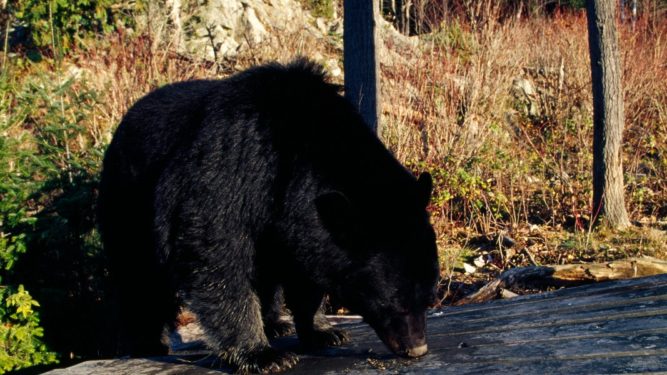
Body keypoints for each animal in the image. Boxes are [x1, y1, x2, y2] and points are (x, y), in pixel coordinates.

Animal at [98, 58, 438, 374]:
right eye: (390, 301)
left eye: (428, 296)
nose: (416, 348)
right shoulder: (231, 167)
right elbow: (215, 252)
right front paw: (263, 356)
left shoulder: (298, 217)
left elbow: (309, 267)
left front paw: (323, 331)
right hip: (128, 201)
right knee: (139, 277)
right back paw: (148, 343)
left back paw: (276, 323)